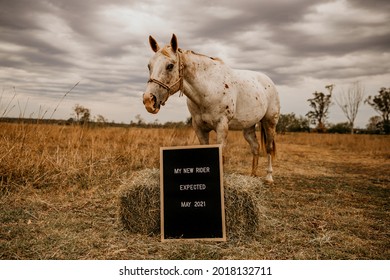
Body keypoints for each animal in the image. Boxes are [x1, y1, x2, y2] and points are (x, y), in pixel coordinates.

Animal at [143, 34, 280, 184]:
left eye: (170, 66)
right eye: (149, 66)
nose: (148, 100)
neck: (209, 87)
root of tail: (269, 82)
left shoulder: (221, 127)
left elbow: (222, 155)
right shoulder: (199, 128)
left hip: (269, 122)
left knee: (268, 148)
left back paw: (269, 177)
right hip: (248, 127)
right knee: (255, 147)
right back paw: (253, 176)